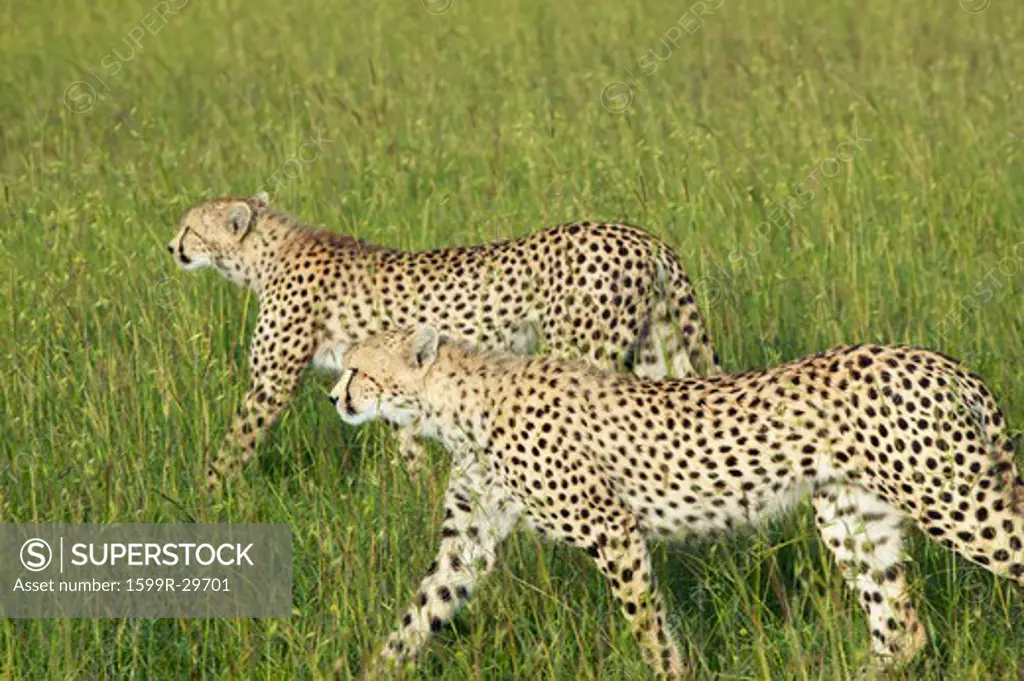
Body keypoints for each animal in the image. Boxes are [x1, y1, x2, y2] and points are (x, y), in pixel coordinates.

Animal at [167, 191, 720, 489]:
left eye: (190, 228)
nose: (171, 246)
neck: (266, 254)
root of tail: (641, 235)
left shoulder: (272, 384)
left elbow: (236, 441)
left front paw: (207, 494)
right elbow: (406, 442)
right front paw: (419, 490)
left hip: (583, 351)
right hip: (656, 353)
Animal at [327, 327, 1024, 675]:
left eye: (360, 369)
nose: (335, 395)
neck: (459, 406)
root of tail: (937, 359)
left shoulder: (612, 529)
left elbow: (647, 623)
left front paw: (670, 672)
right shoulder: (468, 542)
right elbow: (422, 612)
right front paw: (370, 671)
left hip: (952, 499)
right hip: (850, 514)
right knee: (902, 629)